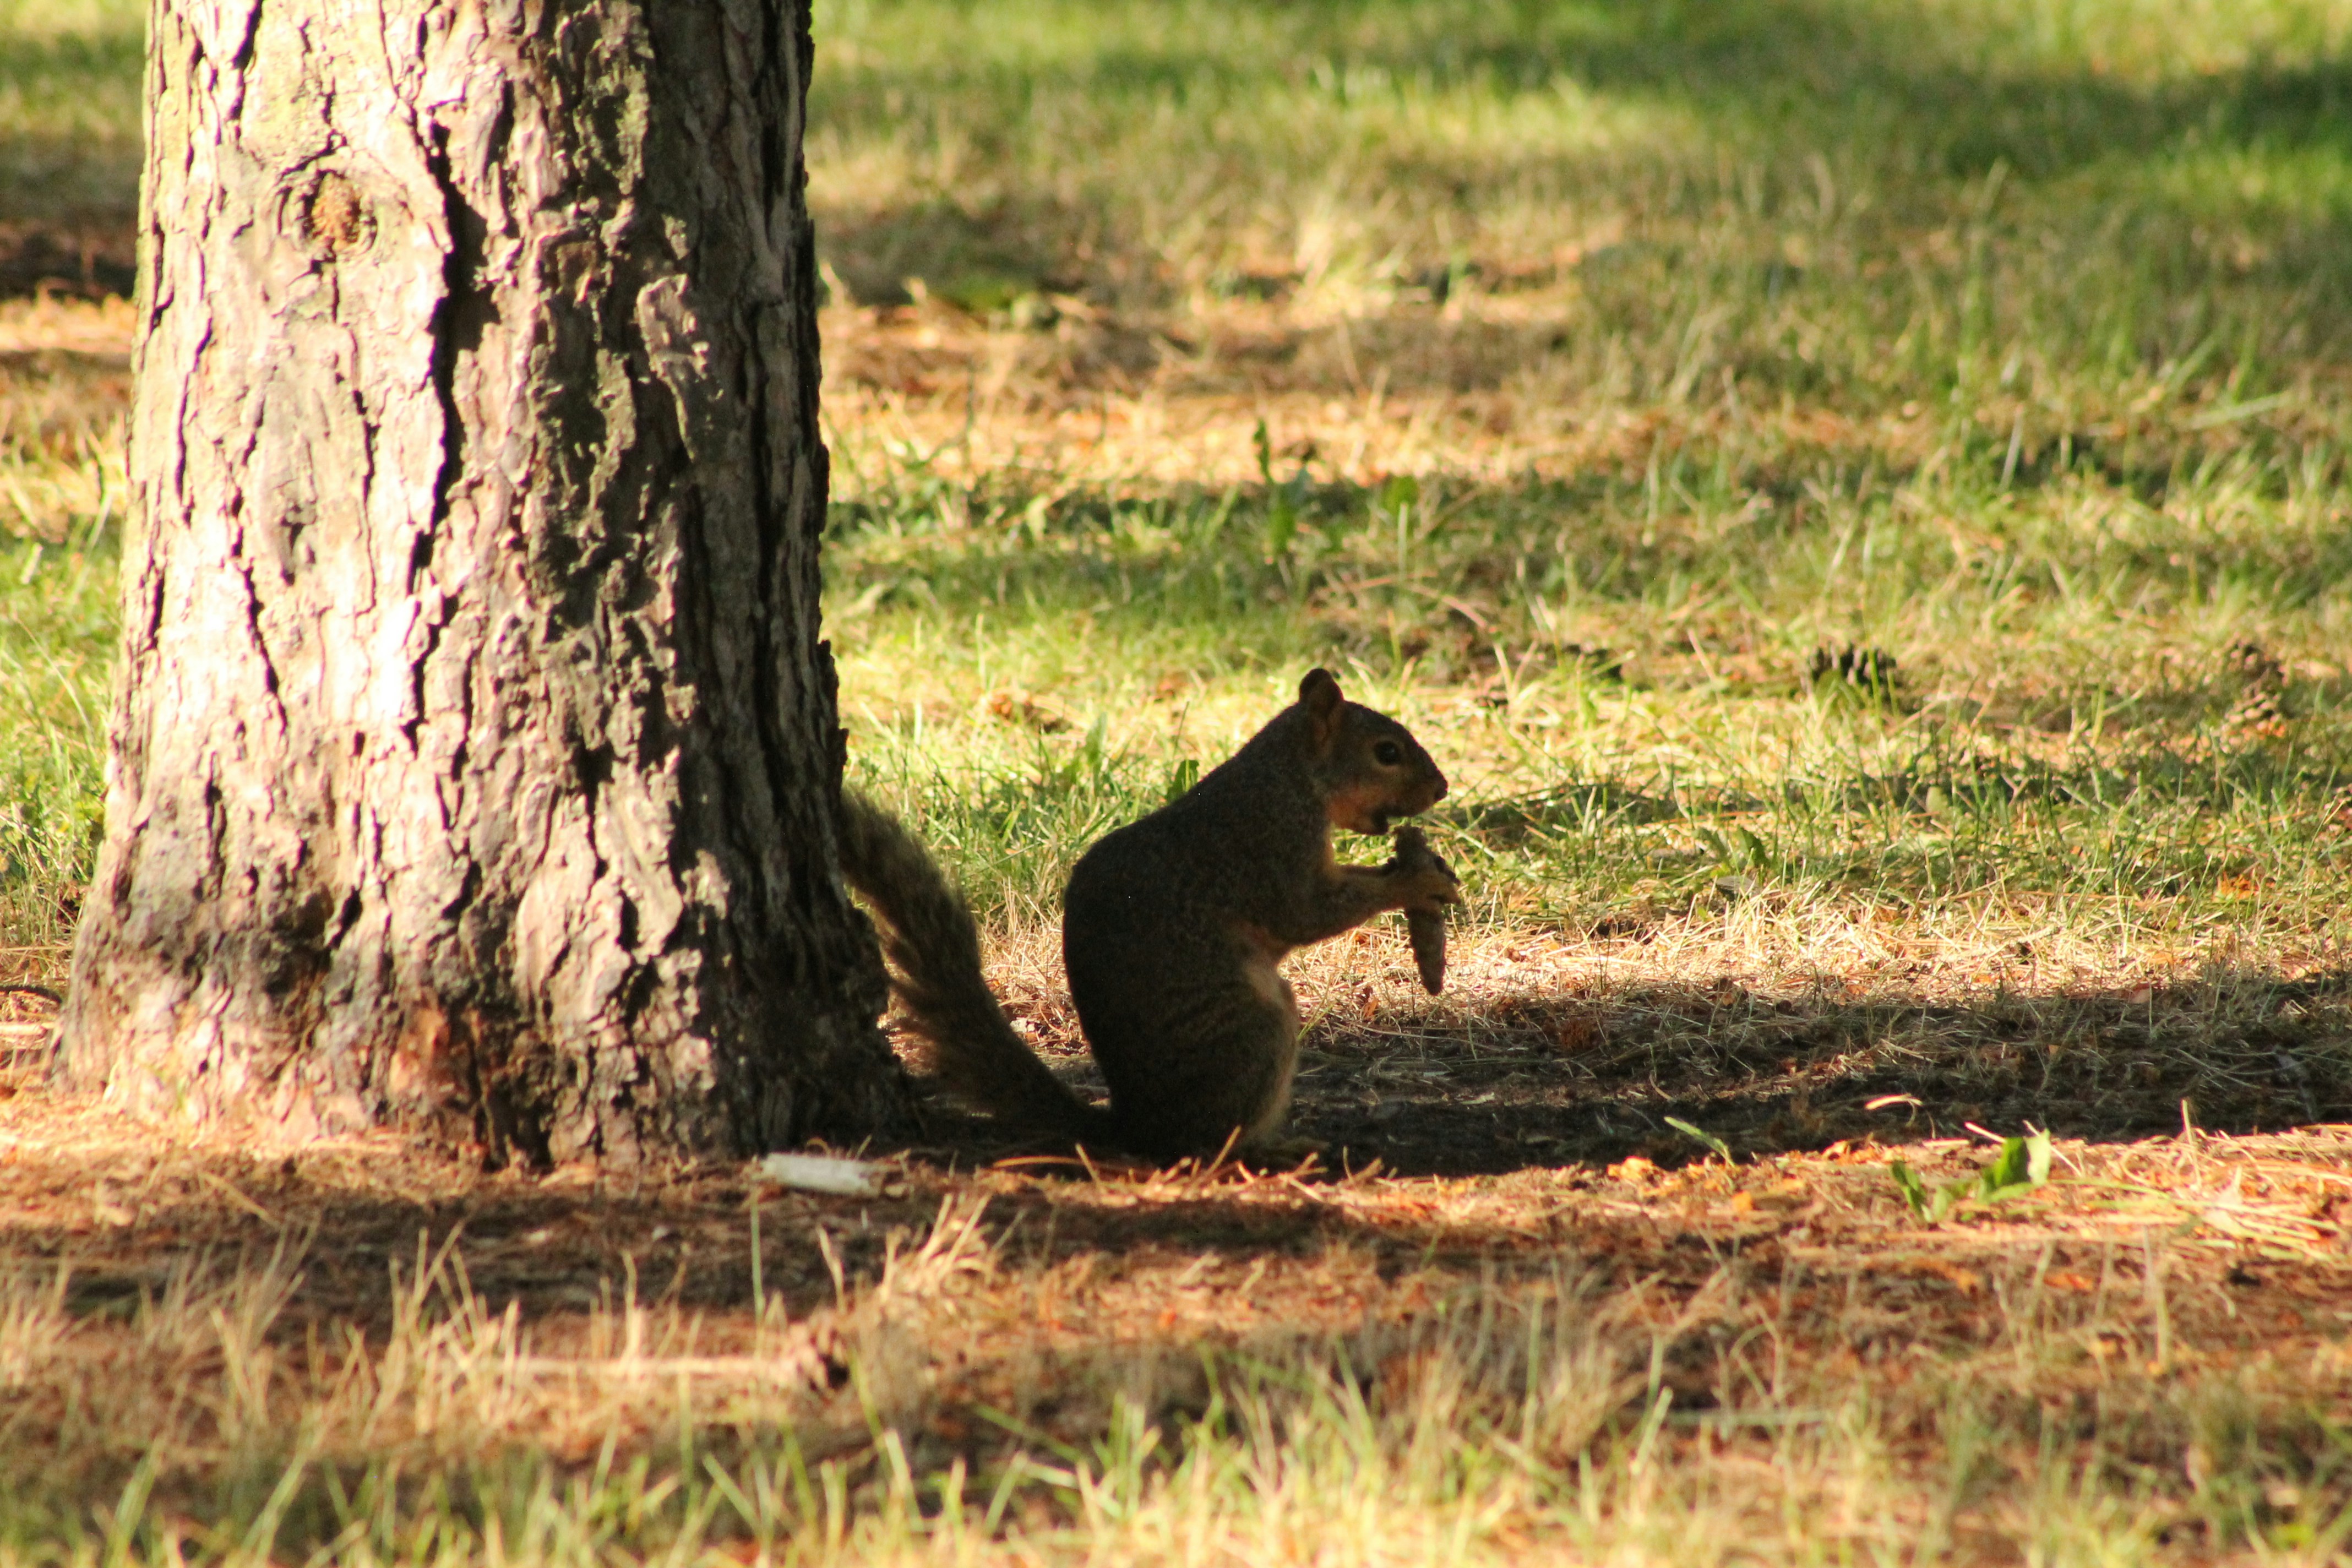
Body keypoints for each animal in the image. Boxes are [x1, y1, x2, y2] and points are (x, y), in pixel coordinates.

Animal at [836, 668, 1461, 1158]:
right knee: (1205, 1145)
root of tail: (1135, 1125)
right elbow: (1307, 914)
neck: (1290, 775)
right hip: (1251, 1033)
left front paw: (1424, 869)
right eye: (1387, 752)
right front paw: (1418, 880)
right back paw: (1273, 1151)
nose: (1442, 788)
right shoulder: (1270, 845)